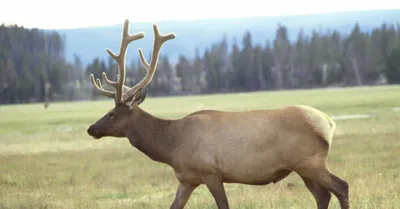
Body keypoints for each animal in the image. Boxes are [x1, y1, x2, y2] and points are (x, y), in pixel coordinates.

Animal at [86, 19, 348, 209]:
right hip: (303, 167)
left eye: (111, 113)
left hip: (310, 161)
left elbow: (223, 205)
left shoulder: (211, 172)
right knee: (323, 196)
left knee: (341, 187)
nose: (90, 128)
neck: (172, 147)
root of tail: (329, 123)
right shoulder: (186, 179)